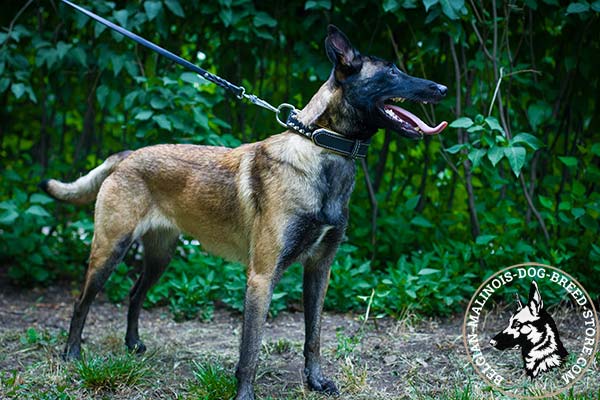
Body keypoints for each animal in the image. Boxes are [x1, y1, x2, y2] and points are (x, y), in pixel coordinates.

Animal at [41, 25, 446, 400]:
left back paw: (132, 344)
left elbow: (313, 336)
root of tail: (127, 156)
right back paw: (72, 354)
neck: (321, 149)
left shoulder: (320, 269)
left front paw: (315, 381)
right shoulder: (262, 277)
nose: (441, 88)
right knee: (82, 301)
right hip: (110, 248)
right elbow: (249, 350)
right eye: (391, 71)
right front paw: (245, 394)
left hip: (160, 256)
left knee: (135, 294)